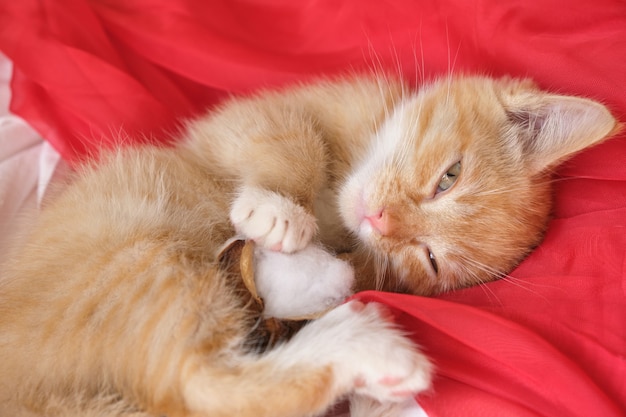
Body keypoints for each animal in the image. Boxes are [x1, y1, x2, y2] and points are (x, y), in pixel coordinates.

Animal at [0, 75, 616, 416]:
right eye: (450, 176)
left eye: (430, 258)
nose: (380, 218)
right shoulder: (245, 122)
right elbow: (293, 139)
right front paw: (275, 209)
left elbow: (336, 273)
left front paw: (316, 264)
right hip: (132, 232)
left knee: (198, 388)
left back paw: (370, 364)